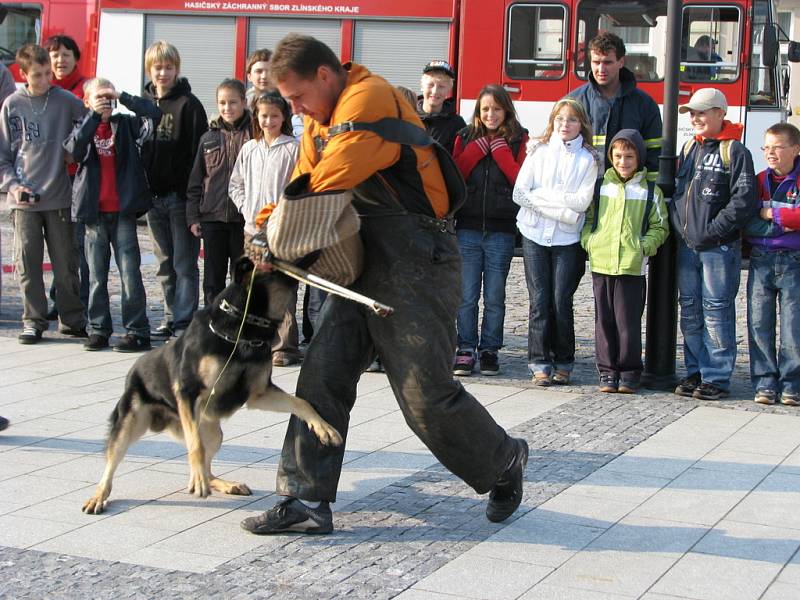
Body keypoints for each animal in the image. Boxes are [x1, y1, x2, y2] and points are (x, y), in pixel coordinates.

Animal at [83, 255, 342, 512]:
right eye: (277, 265)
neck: (243, 330)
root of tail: (134, 369)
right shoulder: (189, 393)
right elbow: (195, 447)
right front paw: (197, 480)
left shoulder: (259, 394)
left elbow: (301, 403)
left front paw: (324, 428)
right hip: (131, 424)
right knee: (112, 463)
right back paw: (99, 496)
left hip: (213, 432)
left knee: (208, 467)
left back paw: (223, 484)